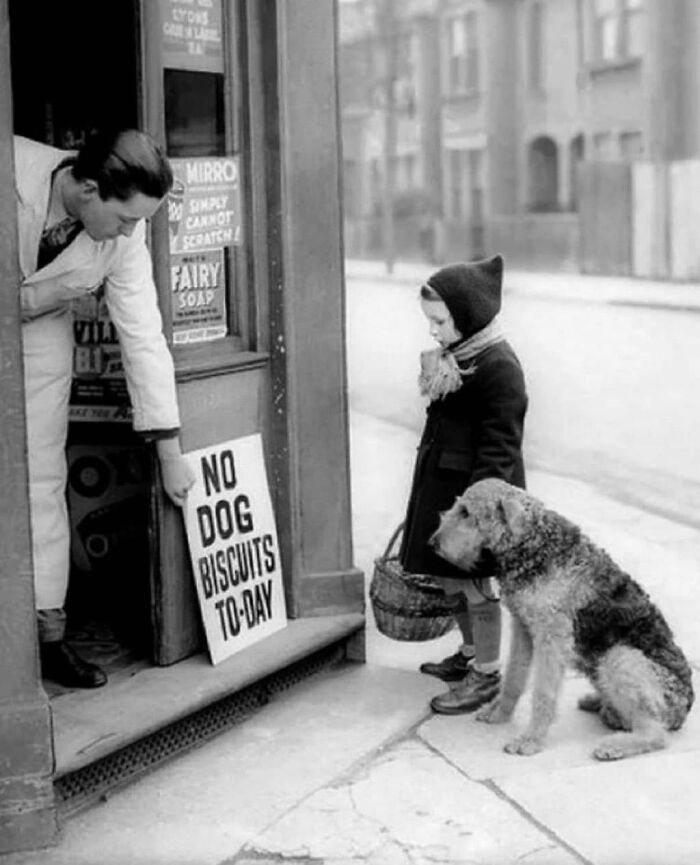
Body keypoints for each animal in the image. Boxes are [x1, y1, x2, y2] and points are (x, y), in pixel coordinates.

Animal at [430, 480, 692, 764]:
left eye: (466, 512)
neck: (534, 543)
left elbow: (543, 693)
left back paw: (614, 745)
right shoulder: (523, 626)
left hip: (622, 657)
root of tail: (685, 709)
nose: (432, 543)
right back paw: (598, 703)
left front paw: (530, 740)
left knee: (655, 733)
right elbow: (513, 676)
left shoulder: (551, 635)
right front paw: (498, 712)